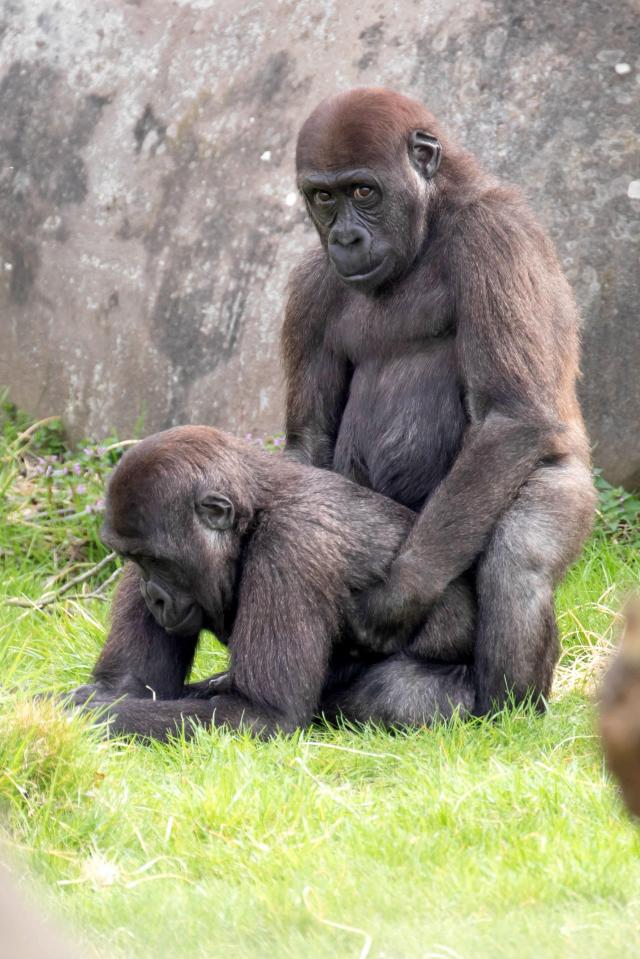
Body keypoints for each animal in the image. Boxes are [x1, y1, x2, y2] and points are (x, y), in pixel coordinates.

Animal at [70, 424, 552, 740]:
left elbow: (262, 715)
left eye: (156, 560)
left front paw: (79, 715)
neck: (252, 515)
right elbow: (130, 686)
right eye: (133, 560)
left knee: (398, 694)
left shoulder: (291, 545)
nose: (152, 596)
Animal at [282, 86, 596, 712]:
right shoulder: (309, 284)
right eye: (324, 197)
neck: (431, 217)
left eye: (363, 191)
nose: (345, 239)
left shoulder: (495, 236)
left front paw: (393, 600)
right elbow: (311, 440)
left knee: (518, 557)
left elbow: (511, 416)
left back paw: (501, 706)